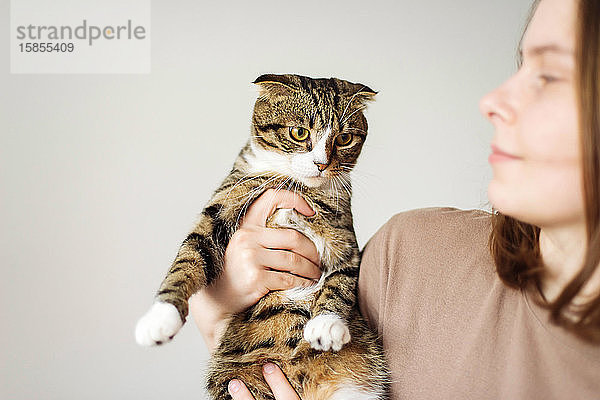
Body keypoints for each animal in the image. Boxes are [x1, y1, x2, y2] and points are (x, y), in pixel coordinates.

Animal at [134, 73, 392, 398]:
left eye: (344, 138)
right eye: (299, 132)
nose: (321, 164)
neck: (294, 185)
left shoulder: (342, 234)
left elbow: (342, 278)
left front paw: (326, 324)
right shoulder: (225, 202)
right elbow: (188, 258)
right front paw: (160, 317)